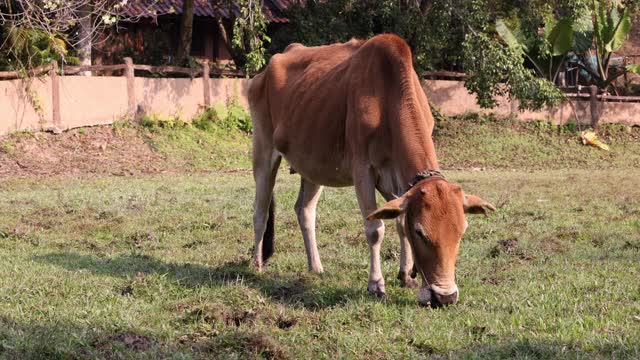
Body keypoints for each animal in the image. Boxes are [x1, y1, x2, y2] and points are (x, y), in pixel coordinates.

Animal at [246, 33, 496, 306]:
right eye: (421, 233)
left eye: (462, 231)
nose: (446, 296)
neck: (388, 98)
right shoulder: (362, 170)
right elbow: (375, 229)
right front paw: (376, 284)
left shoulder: (397, 182)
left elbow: (400, 222)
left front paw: (405, 275)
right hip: (263, 150)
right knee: (260, 211)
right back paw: (257, 264)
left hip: (313, 165)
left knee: (304, 211)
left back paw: (316, 267)